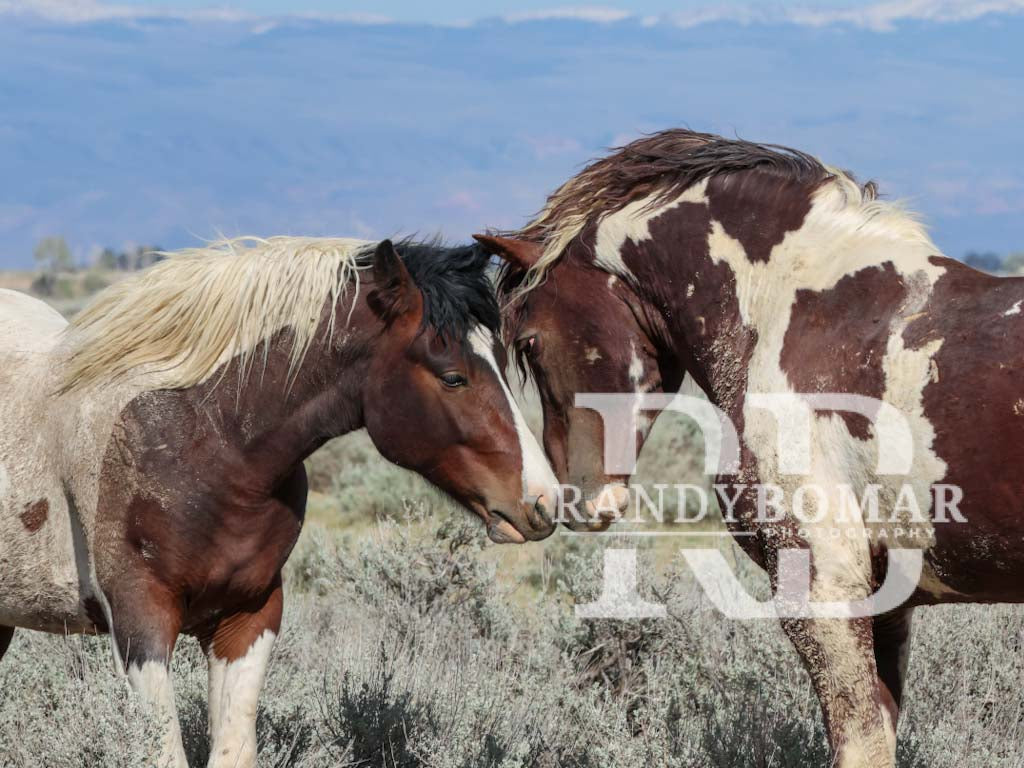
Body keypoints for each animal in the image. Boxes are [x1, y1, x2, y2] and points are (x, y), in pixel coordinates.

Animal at [0, 235, 558, 768]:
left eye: (507, 364)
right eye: (452, 376)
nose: (544, 501)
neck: (201, 440)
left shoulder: (250, 616)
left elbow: (233, 751)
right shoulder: (142, 623)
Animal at [476, 128, 1024, 768]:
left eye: (529, 342)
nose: (574, 498)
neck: (804, 318)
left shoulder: (821, 587)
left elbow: (858, 741)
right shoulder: (887, 601)